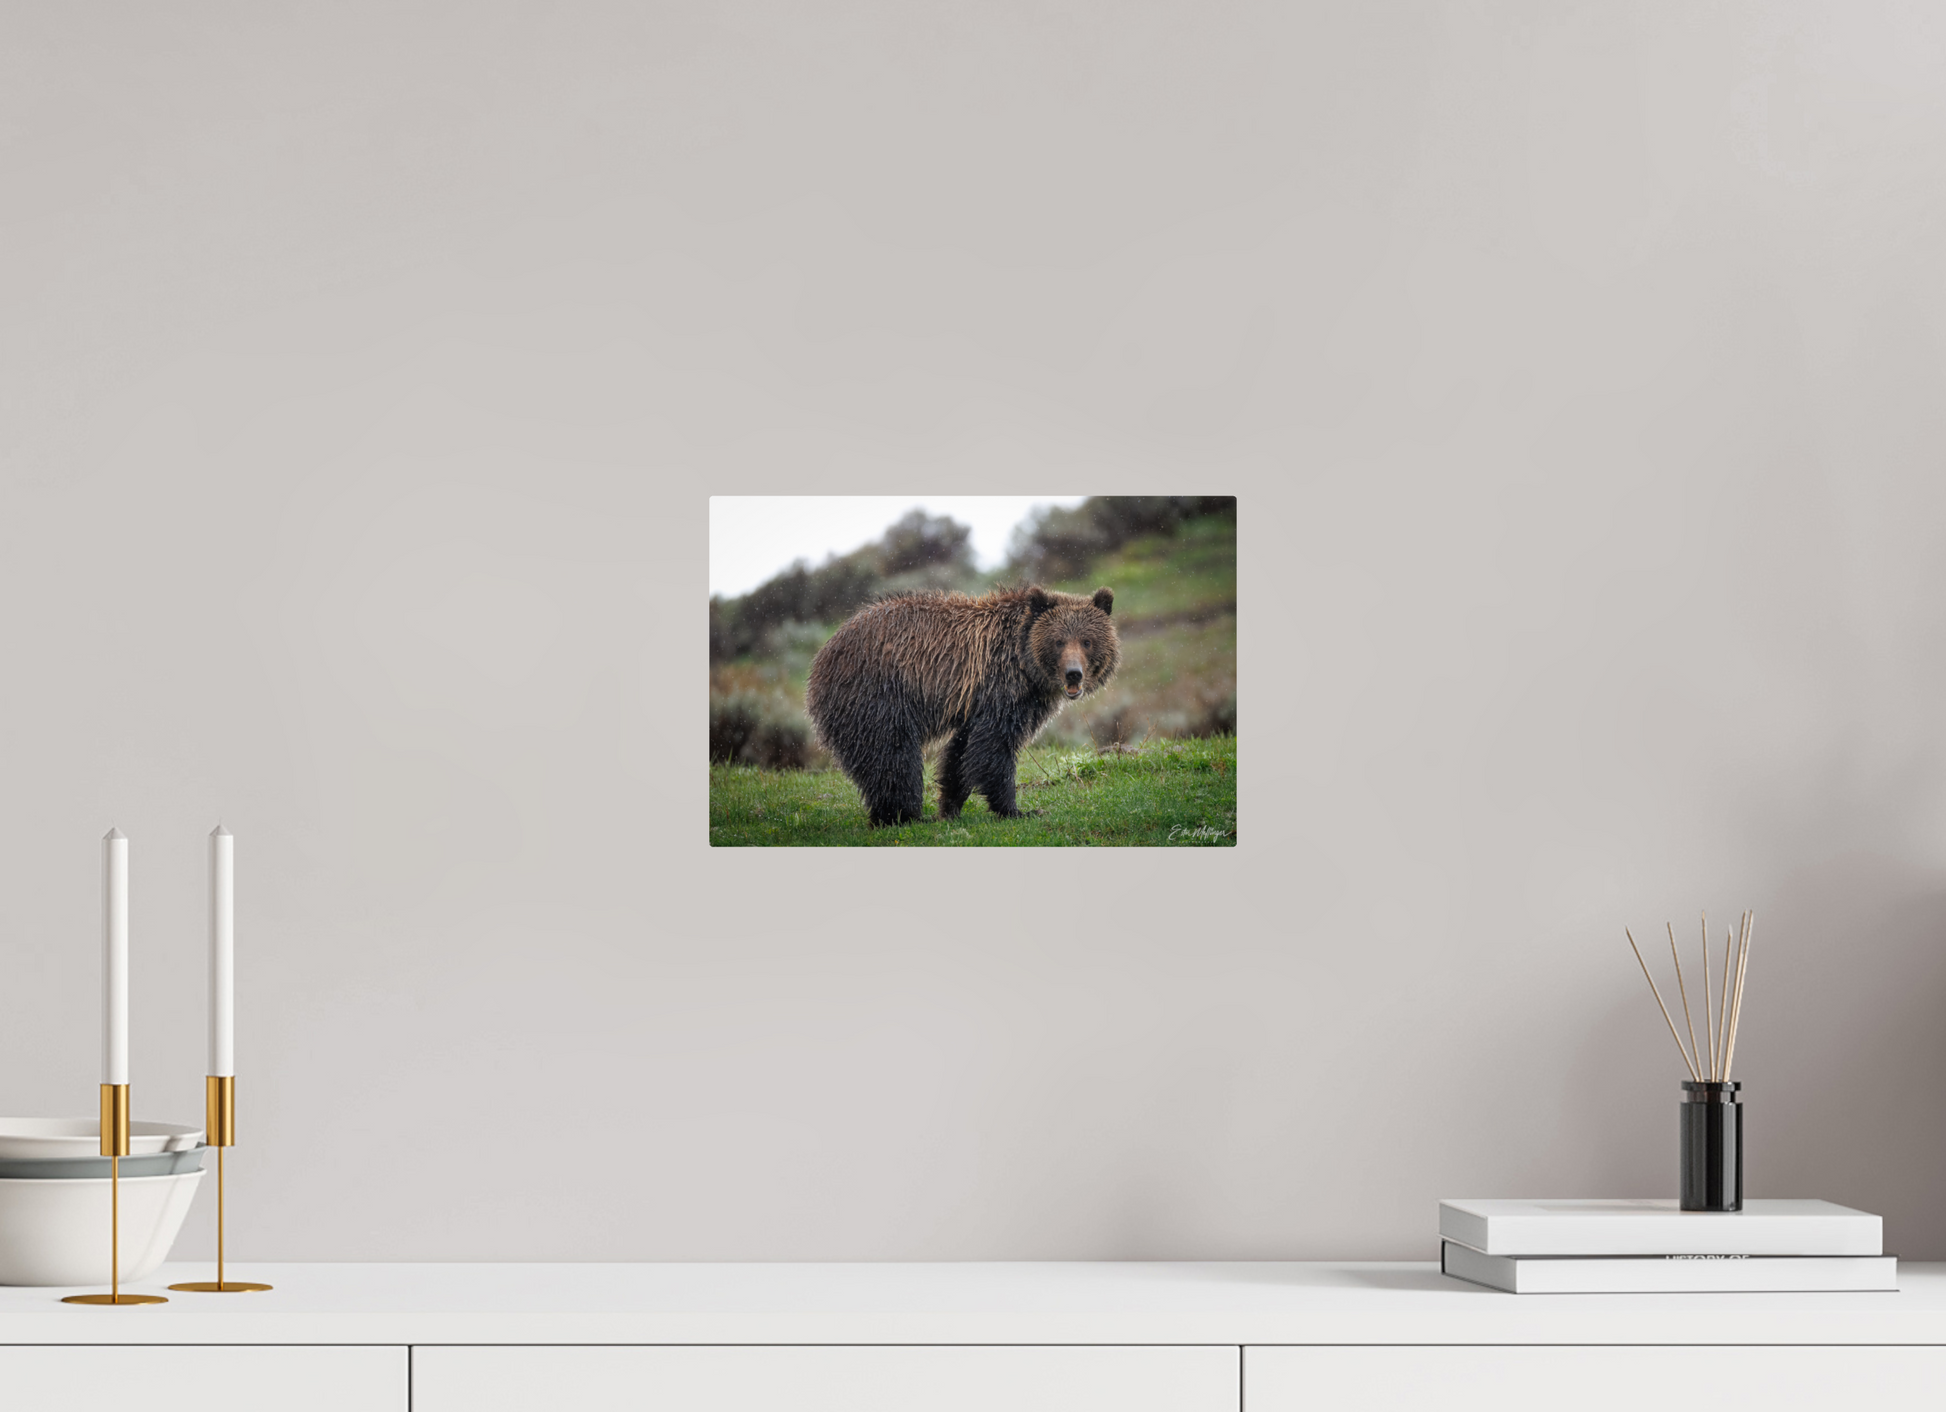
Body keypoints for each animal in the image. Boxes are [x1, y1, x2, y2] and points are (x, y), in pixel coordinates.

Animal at [805, 585, 1120, 826]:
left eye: (1087, 641)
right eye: (1058, 641)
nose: (1073, 674)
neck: (1025, 665)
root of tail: (822, 657)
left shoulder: (978, 703)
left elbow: (962, 752)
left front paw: (950, 806)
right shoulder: (1000, 690)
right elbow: (993, 749)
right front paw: (1017, 809)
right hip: (878, 695)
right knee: (893, 756)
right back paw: (904, 816)